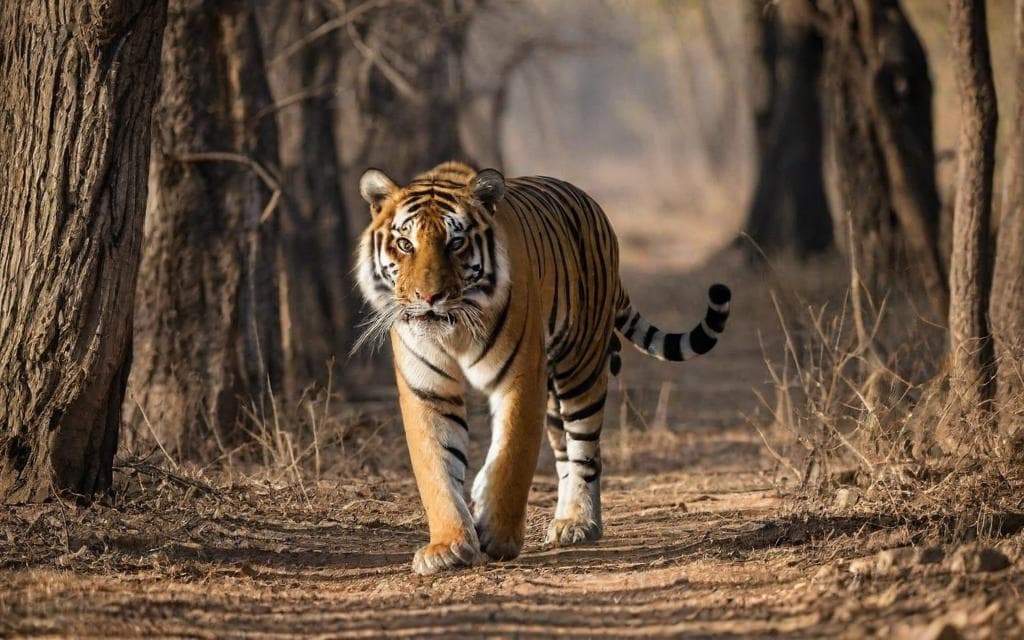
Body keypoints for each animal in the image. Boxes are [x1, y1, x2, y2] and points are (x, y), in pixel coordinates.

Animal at [355, 161, 731, 575]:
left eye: (456, 243)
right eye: (406, 244)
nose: (428, 298)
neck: (455, 331)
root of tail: (596, 210)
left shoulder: (520, 377)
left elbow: (512, 456)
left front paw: (498, 536)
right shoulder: (428, 389)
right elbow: (436, 467)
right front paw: (447, 547)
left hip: (580, 366)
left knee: (584, 448)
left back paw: (579, 523)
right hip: (554, 394)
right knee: (566, 452)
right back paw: (567, 518)